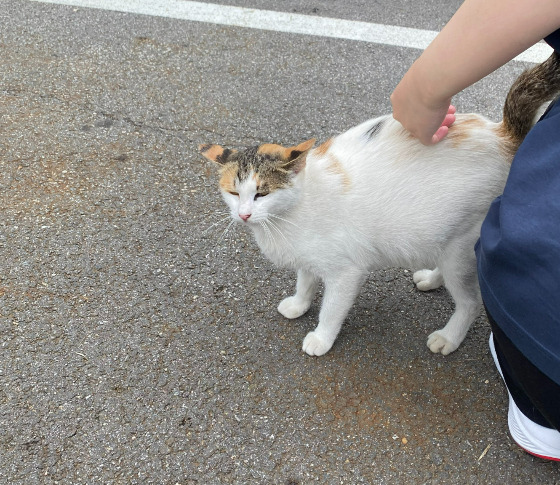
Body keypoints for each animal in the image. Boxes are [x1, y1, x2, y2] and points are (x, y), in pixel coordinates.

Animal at [200, 52, 560, 356]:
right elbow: (305, 280)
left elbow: (331, 309)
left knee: (470, 302)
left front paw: (321, 338)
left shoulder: (346, 272)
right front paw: (299, 304)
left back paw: (448, 337)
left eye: (262, 193)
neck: (288, 215)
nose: (244, 214)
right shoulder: (307, 257)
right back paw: (432, 278)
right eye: (233, 193)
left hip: (463, 242)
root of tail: (503, 136)